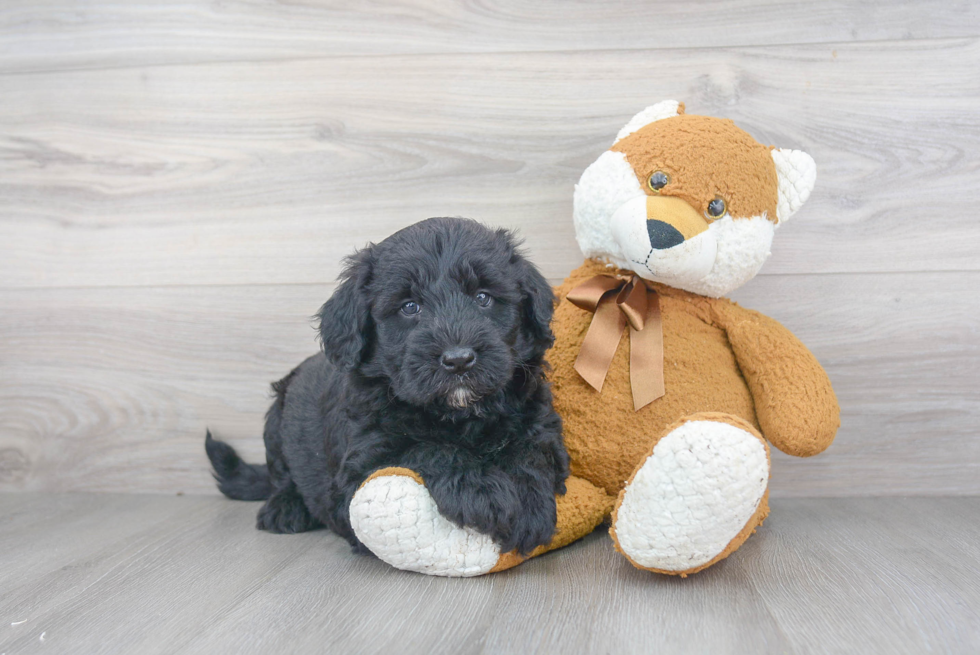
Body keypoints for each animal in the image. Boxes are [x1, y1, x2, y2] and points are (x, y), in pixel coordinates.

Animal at [211, 218, 572, 556]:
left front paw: (529, 504)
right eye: (409, 307)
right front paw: (482, 491)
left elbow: (531, 450)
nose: (458, 360)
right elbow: (423, 448)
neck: (459, 414)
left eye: (483, 297)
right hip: (277, 417)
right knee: (281, 475)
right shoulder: (354, 479)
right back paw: (285, 507)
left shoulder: (537, 419)